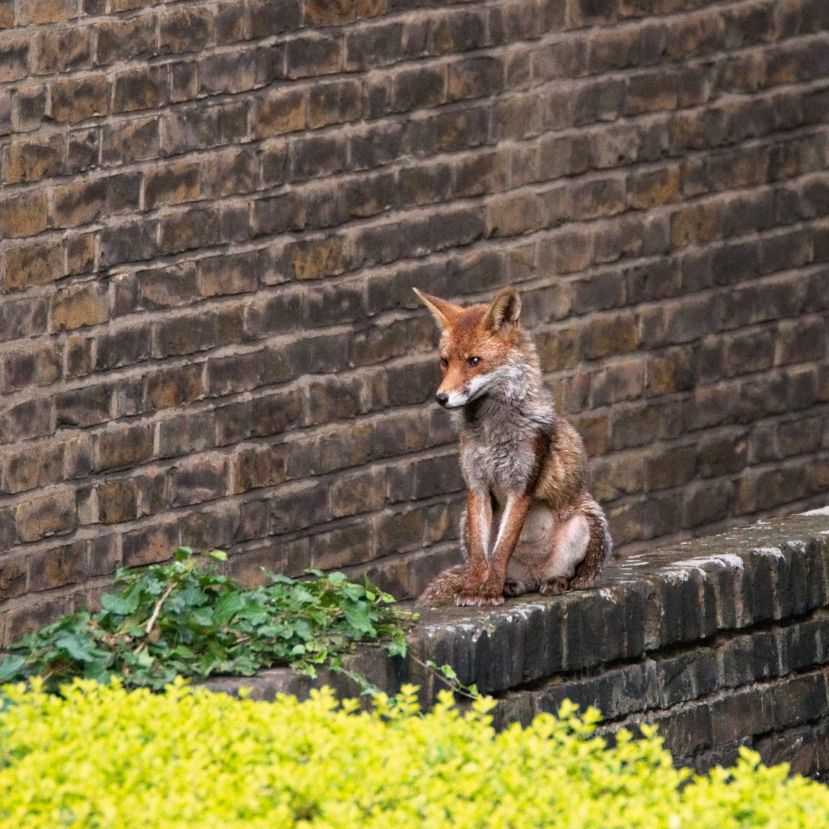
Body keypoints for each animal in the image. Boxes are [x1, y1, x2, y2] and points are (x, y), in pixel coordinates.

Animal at [412, 286, 608, 608]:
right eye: (444, 362)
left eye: (474, 361)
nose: (441, 398)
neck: (492, 434)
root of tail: (533, 574)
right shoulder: (476, 486)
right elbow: (482, 557)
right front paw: (475, 590)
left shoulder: (522, 487)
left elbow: (502, 550)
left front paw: (489, 591)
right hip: (465, 523)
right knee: (503, 571)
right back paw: (509, 585)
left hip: (584, 523)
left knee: (564, 575)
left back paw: (553, 582)